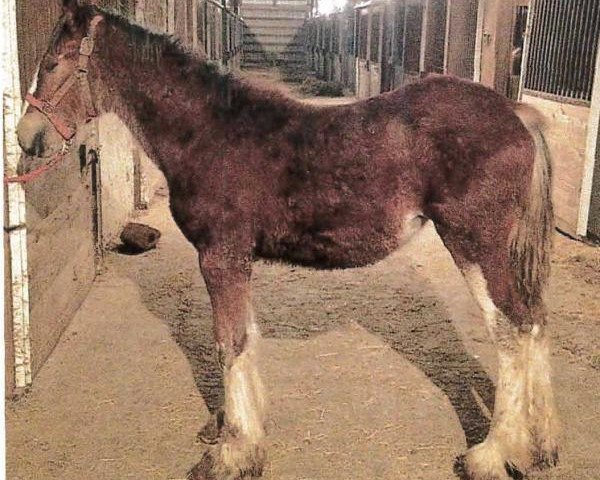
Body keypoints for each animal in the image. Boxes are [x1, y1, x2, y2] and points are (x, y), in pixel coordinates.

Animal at [16, 1, 560, 478]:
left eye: (53, 61)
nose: (26, 136)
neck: (207, 132)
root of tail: (516, 113)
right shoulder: (238, 260)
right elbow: (245, 337)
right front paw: (236, 429)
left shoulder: (220, 256)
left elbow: (229, 343)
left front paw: (233, 454)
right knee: (534, 323)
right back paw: (541, 446)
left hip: (475, 244)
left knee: (512, 330)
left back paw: (491, 455)